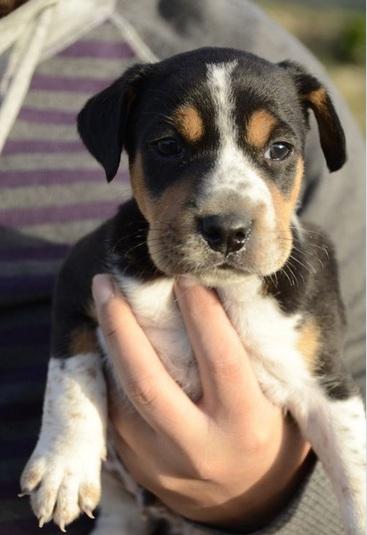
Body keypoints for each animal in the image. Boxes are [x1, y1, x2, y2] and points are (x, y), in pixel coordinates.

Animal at [20, 48, 367, 532]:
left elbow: (354, 471)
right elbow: (71, 373)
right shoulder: (78, 279)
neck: (214, 288)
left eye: (280, 149)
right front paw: (63, 468)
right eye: (168, 146)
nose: (227, 231)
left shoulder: (327, 383)